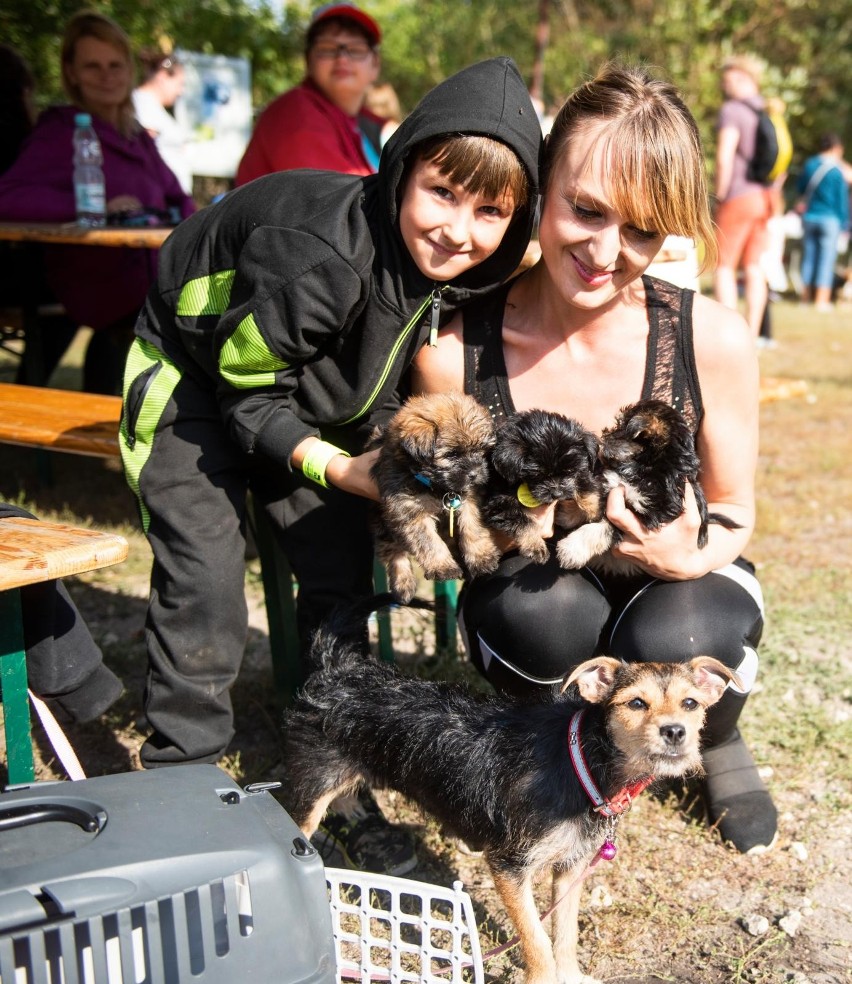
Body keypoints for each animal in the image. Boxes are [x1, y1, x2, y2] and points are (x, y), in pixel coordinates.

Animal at [282, 632, 736, 984]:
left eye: (691, 704)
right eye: (637, 704)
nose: (674, 732)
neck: (585, 760)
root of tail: (335, 668)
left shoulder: (570, 866)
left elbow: (565, 933)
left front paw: (570, 975)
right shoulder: (509, 866)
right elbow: (536, 939)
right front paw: (544, 976)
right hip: (309, 792)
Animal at [366, 392, 500, 600]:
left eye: (481, 451)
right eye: (452, 455)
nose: (475, 474)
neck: (435, 485)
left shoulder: (470, 499)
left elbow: (473, 527)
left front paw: (482, 557)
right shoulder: (409, 510)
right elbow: (428, 542)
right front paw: (443, 567)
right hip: (381, 522)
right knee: (393, 551)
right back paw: (404, 583)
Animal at [482, 408, 604, 560]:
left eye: (570, 471)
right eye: (538, 475)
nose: (557, 493)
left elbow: (584, 480)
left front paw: (594, 510)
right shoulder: (499, 504)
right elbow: (523, 522)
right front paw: (535, 545)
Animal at [556, 396, 744, 572]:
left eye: (620, 427)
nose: (604, 435)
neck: (648, 467)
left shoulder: (647, 513)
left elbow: (604, 526)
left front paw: (572, 549)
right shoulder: (612, 486)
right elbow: (595, 503)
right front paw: (567, 513)